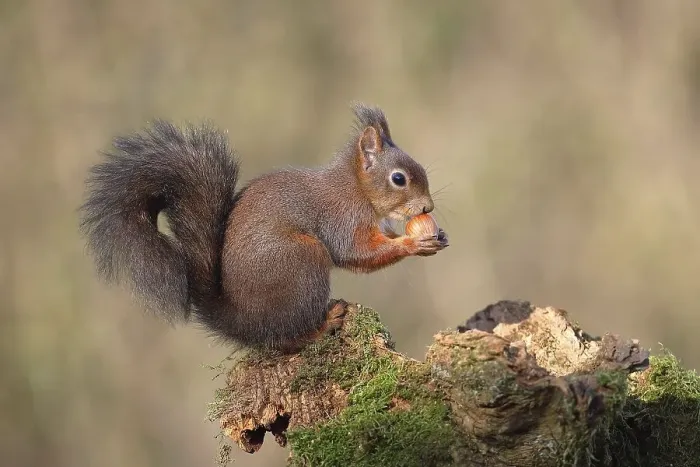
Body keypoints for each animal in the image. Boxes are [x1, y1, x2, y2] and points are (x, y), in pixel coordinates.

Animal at [79, 103, 449, 352]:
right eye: (398, 179)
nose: (428, 208)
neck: (357, 187)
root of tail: (243, 320)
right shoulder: (342, 218)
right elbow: (356, 253)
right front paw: (412, 244)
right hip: (301, 259)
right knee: (287, 339)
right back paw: (323, 325)